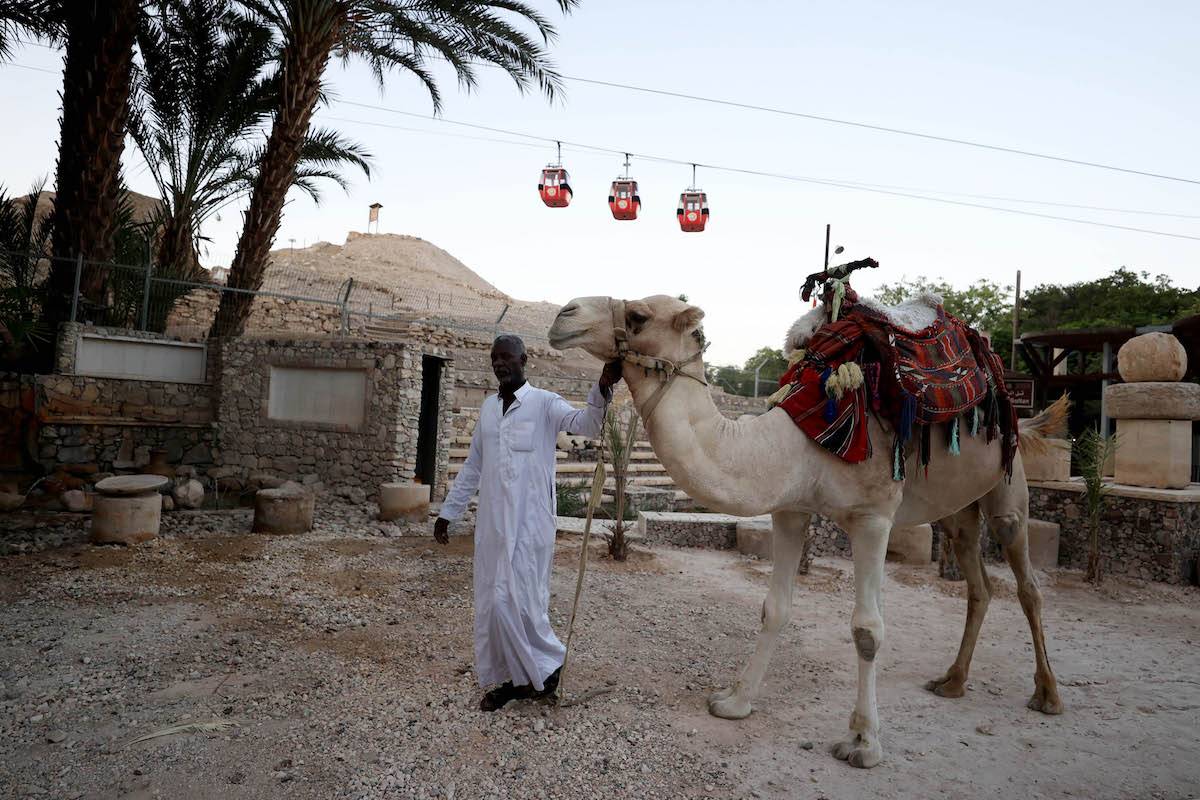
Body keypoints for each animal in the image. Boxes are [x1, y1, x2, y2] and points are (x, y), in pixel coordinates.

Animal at [549, 292, 1065, 767]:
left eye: (638, 315)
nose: (563, 315)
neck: (797, 443)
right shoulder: (791, 509)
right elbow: (774, 608)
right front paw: (734, 702)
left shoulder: (873, 517)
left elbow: (867, 629)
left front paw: (862, 743)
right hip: (957, 508)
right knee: (978, 584)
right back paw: (952, 681)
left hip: (1007, 482)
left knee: (1028, 583)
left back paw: (1047, 694)